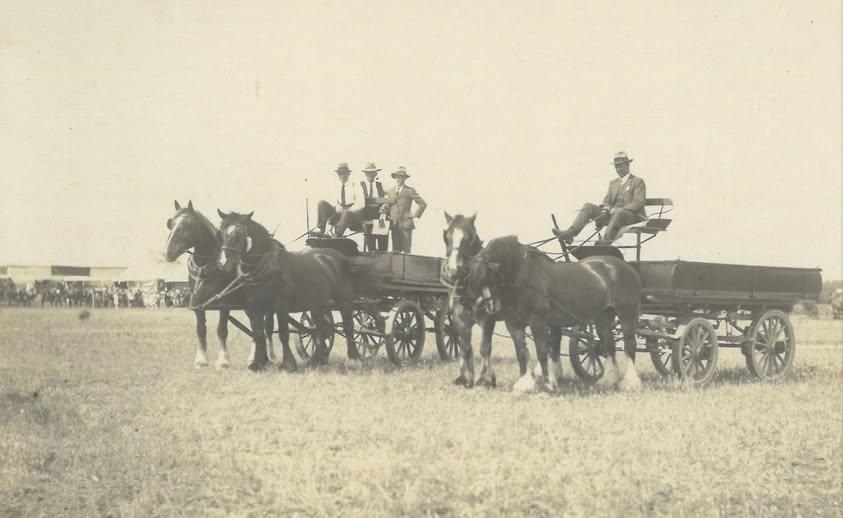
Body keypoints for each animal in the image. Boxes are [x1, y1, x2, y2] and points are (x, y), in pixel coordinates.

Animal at [167, 202, 276, 370]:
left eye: (188, 224)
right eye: (170, 223)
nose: (168, 252)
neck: (205, 267)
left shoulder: (224, 303)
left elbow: (222, 330)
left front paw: (224, 360)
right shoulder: (198, 303)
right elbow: (201, 330)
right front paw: (201, 360)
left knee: (267, 327)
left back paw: (270, 356)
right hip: (249, 306)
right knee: (255, 327)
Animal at [216, 211, 358, 374]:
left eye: (239, 234)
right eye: (220, 233)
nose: (223, 263)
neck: (266, 268)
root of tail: (338, 256)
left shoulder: (281, 305)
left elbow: (283, 333)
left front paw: (288, 364)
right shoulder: (255, 306)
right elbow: (258, 333)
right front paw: (257, 364)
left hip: (344, 300)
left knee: (348, 326)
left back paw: (353, 360)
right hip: (318, 304)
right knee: (321, 328)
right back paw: (318, 360)